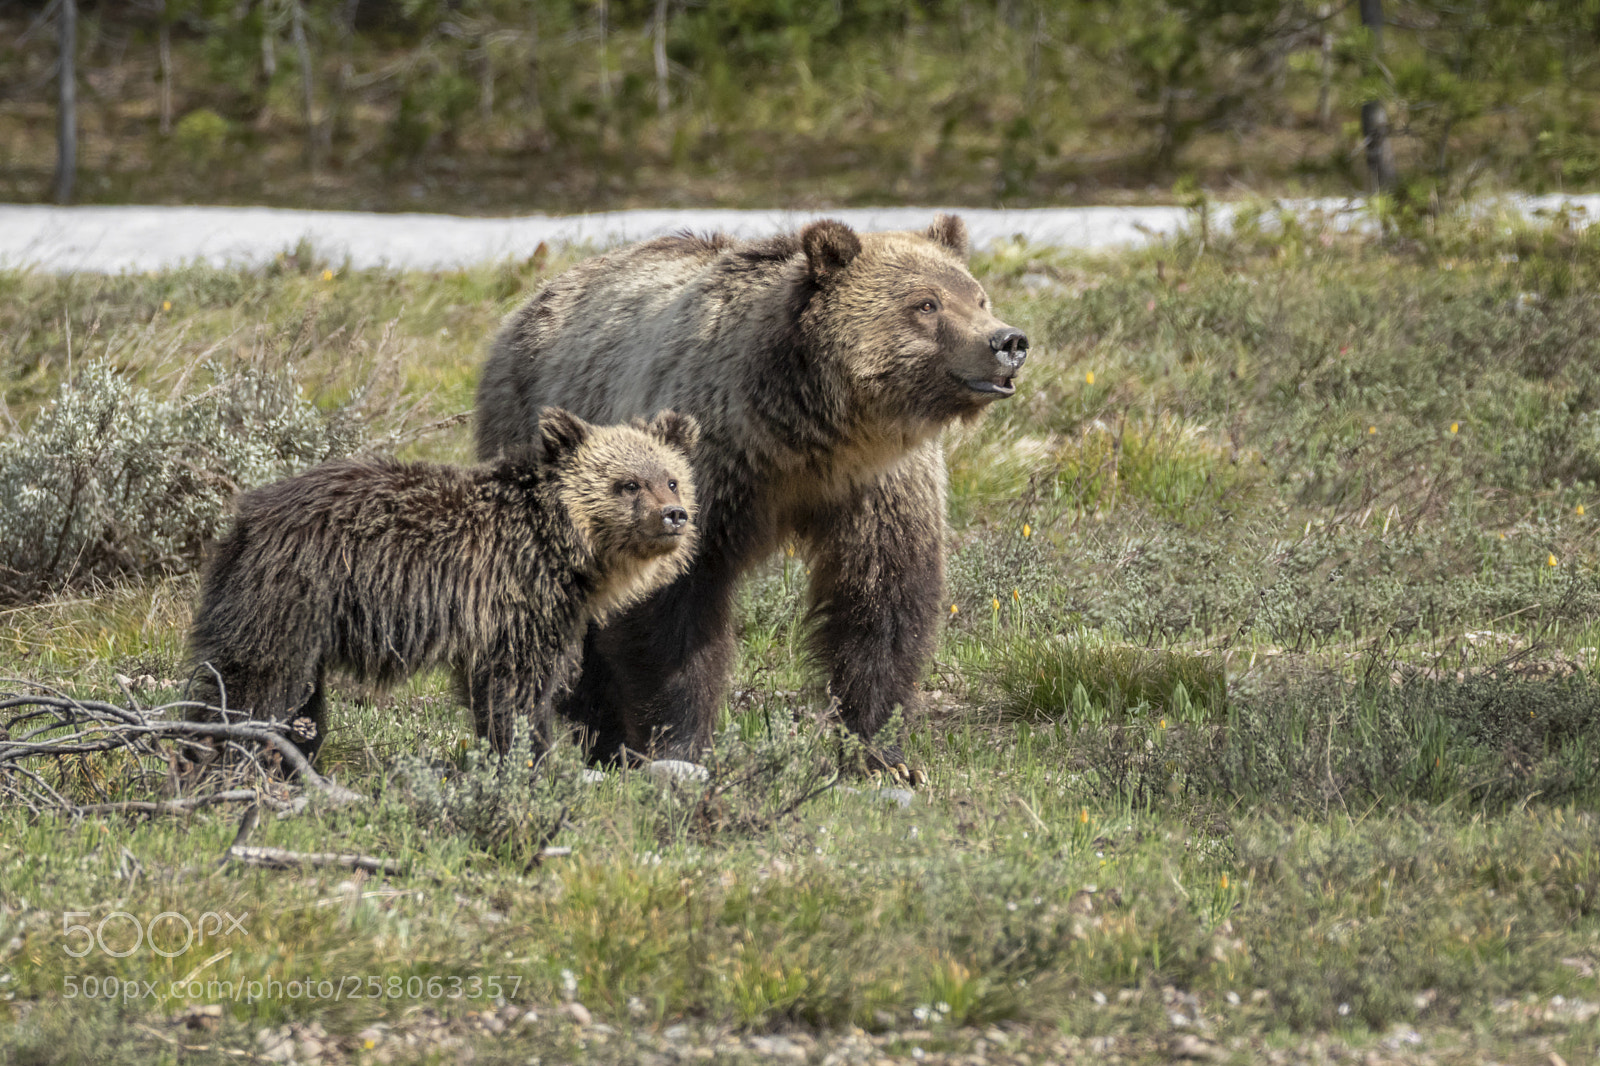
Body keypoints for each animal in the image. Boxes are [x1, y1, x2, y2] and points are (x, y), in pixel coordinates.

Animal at [187, 407, 699, 766]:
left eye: (672, 479)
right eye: (628, 484)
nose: (673, 515)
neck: (560, 546)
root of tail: (246, 516)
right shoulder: (517, 603)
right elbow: (515, 694)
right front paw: (529, 765)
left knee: (299, 700)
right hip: (293, 594)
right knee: (255, 682)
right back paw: (219, 757)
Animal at [474, 215, 1028, 779]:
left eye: (977, 297)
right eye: (926, 303)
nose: (1008, 340)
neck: (808, 435)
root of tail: (528, 305)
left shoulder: (879, 484)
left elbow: (883, 601)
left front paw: (882, 757)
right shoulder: (706, 465)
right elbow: (673, 617)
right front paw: (678, 746)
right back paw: (599, 737)